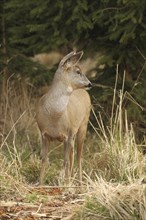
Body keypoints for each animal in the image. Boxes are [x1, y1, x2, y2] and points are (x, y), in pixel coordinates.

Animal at [36, 51, 91, 184]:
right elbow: (44, 159)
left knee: (79, 155)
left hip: (83, 125)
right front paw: (40, 183)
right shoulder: (43, 133)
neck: (54, 115)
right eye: (78, 71)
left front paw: (66, 184)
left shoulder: (67, 134)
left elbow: (65, 161)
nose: (90, 84)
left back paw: (79, 182)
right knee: (72, 153)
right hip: (73, 134)